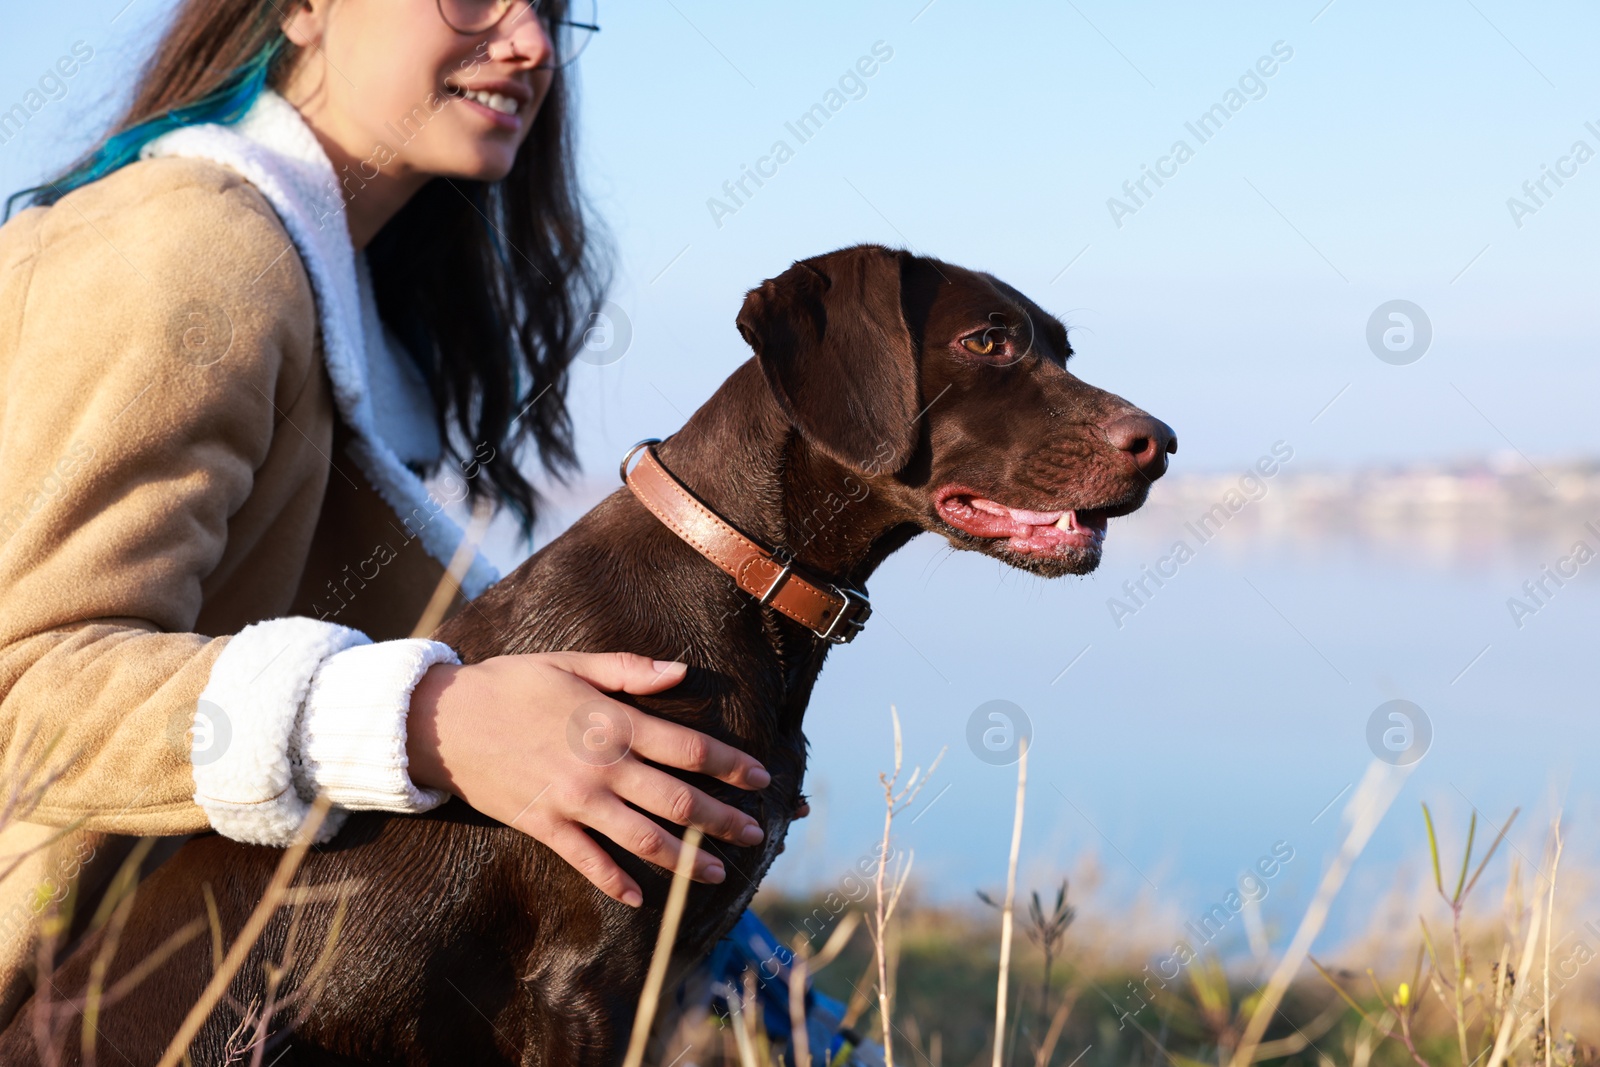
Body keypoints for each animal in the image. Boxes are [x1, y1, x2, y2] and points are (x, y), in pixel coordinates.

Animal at [0, 246, 1177, 1062]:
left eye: (1059, 347)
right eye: (988, 343)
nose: (1162, 443)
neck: (735, 570)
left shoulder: (678, 971)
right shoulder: (585, 978)